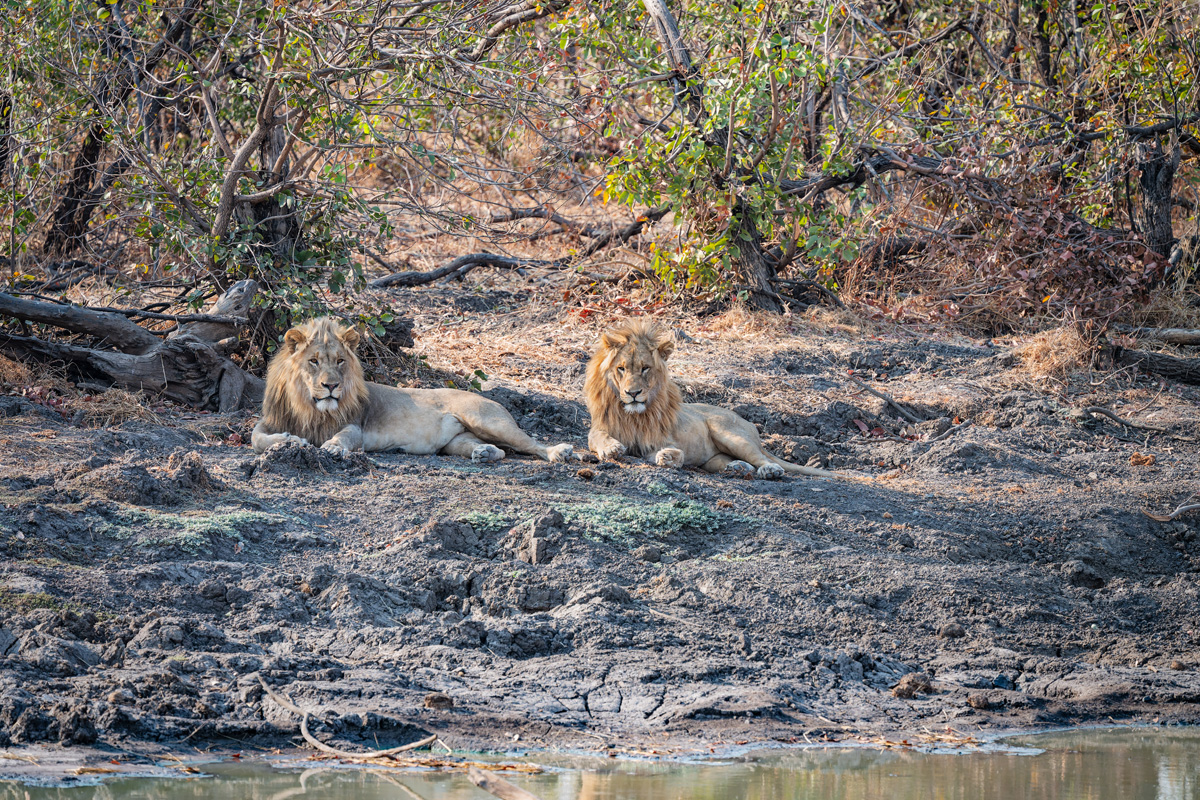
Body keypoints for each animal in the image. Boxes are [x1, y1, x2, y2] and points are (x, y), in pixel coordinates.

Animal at [252, 317, 573, 464]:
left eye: (340, 361)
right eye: (314, 361)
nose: (331, 386)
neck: (308, 405)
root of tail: (488, 397)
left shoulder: (355, 424)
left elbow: (344, 436)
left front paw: (331, 447)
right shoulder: (272, 419)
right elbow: (256, 438)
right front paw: (290, 440)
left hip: (488, 420)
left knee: (529, 443)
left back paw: (560, 452)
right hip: (456, 442)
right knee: (500, 452)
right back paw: (483, 453)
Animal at [583, 320, 839, 480]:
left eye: (645, 368)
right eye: (621, 368)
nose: (633, 393)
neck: (634, 415)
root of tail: (748, 424)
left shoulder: (660, 438)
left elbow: (668, 451)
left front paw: (668, 456)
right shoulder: (600, 427)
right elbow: (598, 438)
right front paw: (611, 448)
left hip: (729, 434)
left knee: (760, 458)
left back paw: (769, 471)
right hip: (715, 457)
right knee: (729, 461)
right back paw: (737, 468)